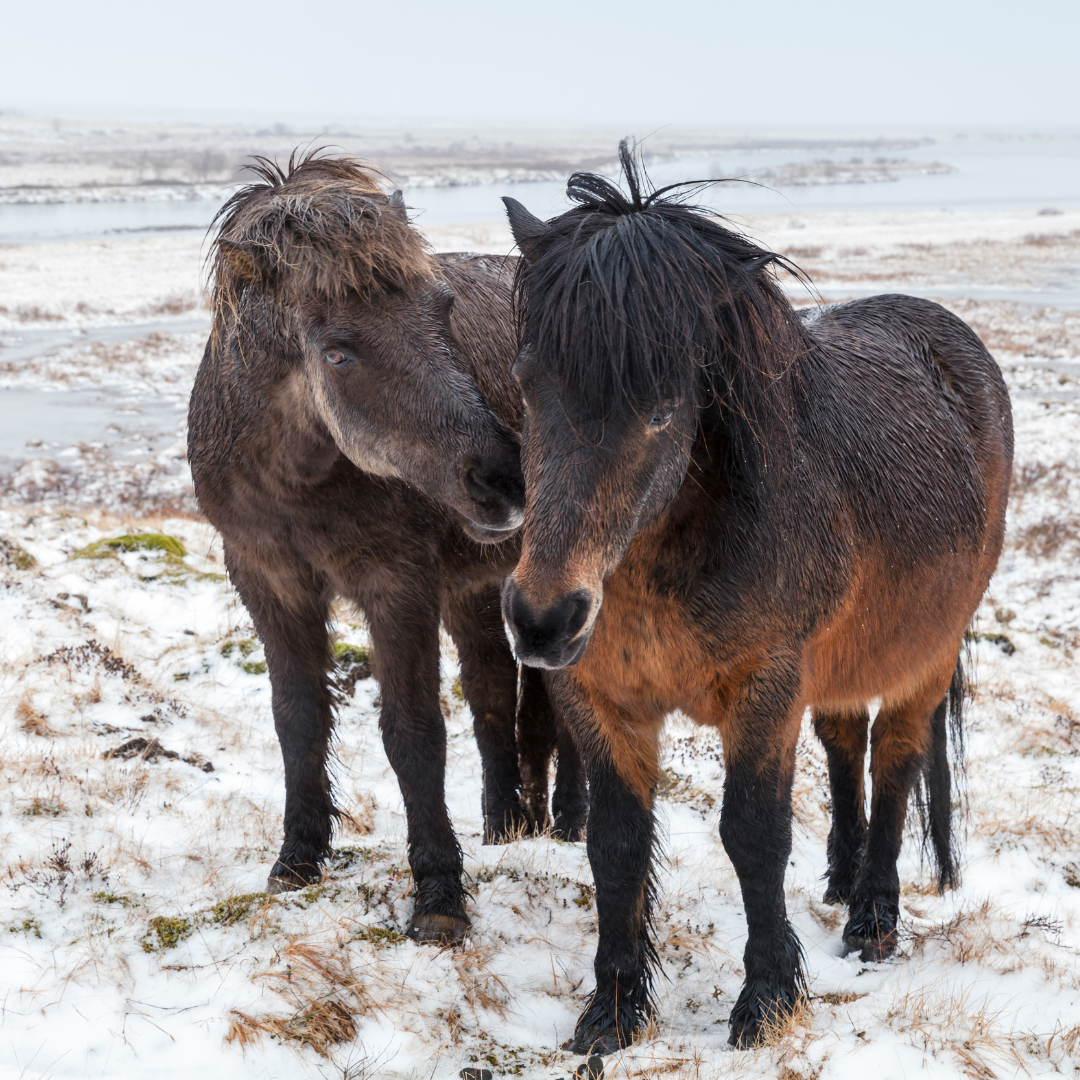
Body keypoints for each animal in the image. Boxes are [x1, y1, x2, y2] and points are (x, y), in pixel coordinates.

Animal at [190, 152, 587, 946]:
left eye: (443, 311)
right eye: (338, 352)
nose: (507, 480)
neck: (295, 478)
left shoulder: (396, 585)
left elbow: (414, 734)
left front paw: (438, 896)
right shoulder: (266, 580)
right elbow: (297, 719)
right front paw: (297, 859)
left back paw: (568, 824)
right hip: (476, 591)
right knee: (495, 695)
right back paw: (505, 825)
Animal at [496, 147, 1010, 1049]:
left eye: (664, 407)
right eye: (529, 383)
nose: (542, 619)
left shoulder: (765, 688)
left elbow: (753, 835)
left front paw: (767, 996)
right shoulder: (601, 696)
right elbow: (616, 844)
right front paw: (614, 1009)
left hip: (925, 653)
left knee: (895, 759)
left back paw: (873, 918)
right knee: (845, 743)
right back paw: (841, 877)